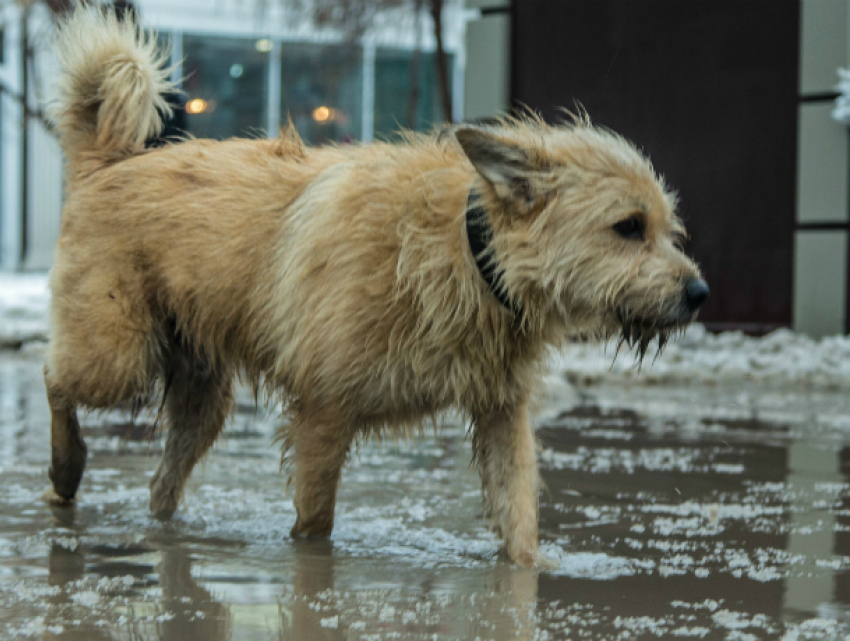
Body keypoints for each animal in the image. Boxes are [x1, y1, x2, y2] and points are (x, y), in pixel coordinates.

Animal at [43, 5, 704, 564]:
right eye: (627, 227)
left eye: (668, 229)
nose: (699, 295)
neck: (467, 253)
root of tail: (112, 161)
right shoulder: (323, 414)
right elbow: (314, 522)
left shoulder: (501, 413)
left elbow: (519, 518)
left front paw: (527, 575)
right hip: (116, 357)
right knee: (54, 378)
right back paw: (66, 469)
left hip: (203, 396)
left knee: (162, 482)